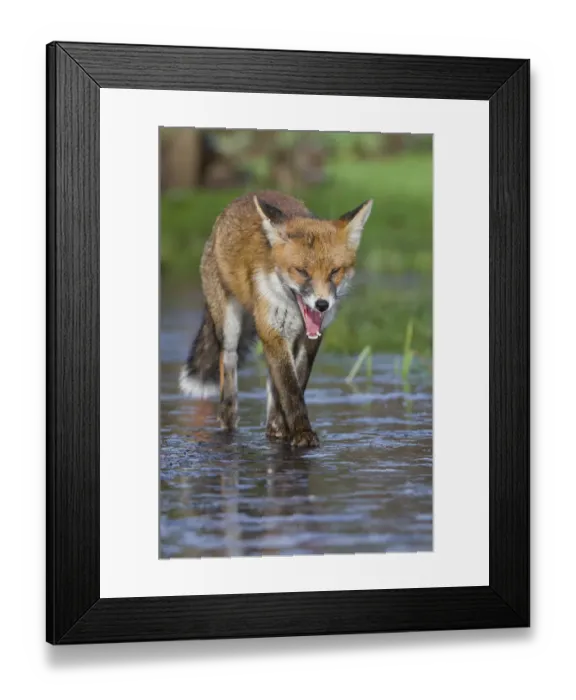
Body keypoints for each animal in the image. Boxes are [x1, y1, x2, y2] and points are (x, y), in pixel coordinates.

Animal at [179, 190, 373, 447]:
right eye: (302, 271)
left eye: (334, 271)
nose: (322, 305)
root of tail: (248, 195)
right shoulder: (272, 331)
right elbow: (290, 388)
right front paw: (302, 432)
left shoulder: (310, 338)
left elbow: (296, 382)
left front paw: (285, 427)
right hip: (230, 328)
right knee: (228, 366)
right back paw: (229, 423)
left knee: (272, 382)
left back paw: (275, 428)